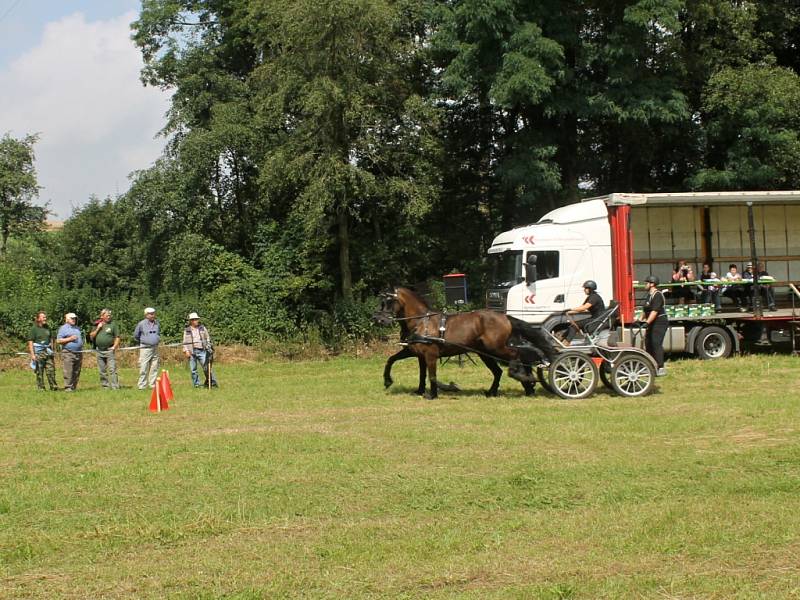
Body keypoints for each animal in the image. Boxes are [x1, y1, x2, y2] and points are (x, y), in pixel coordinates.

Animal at [376, 286, 556, 398]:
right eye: (381, 302)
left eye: (390, 301)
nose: (379, 319)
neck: (421, 321)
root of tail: (505, 317)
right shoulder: (417, 353)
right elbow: (395, 361)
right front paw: (391, 382)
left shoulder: (430, 354)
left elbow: (432, 375)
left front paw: (432, 395)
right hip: (486, 353)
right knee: (500, 370)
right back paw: (504, 389)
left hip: (496, 348)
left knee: (516, 354)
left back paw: (520, 376)